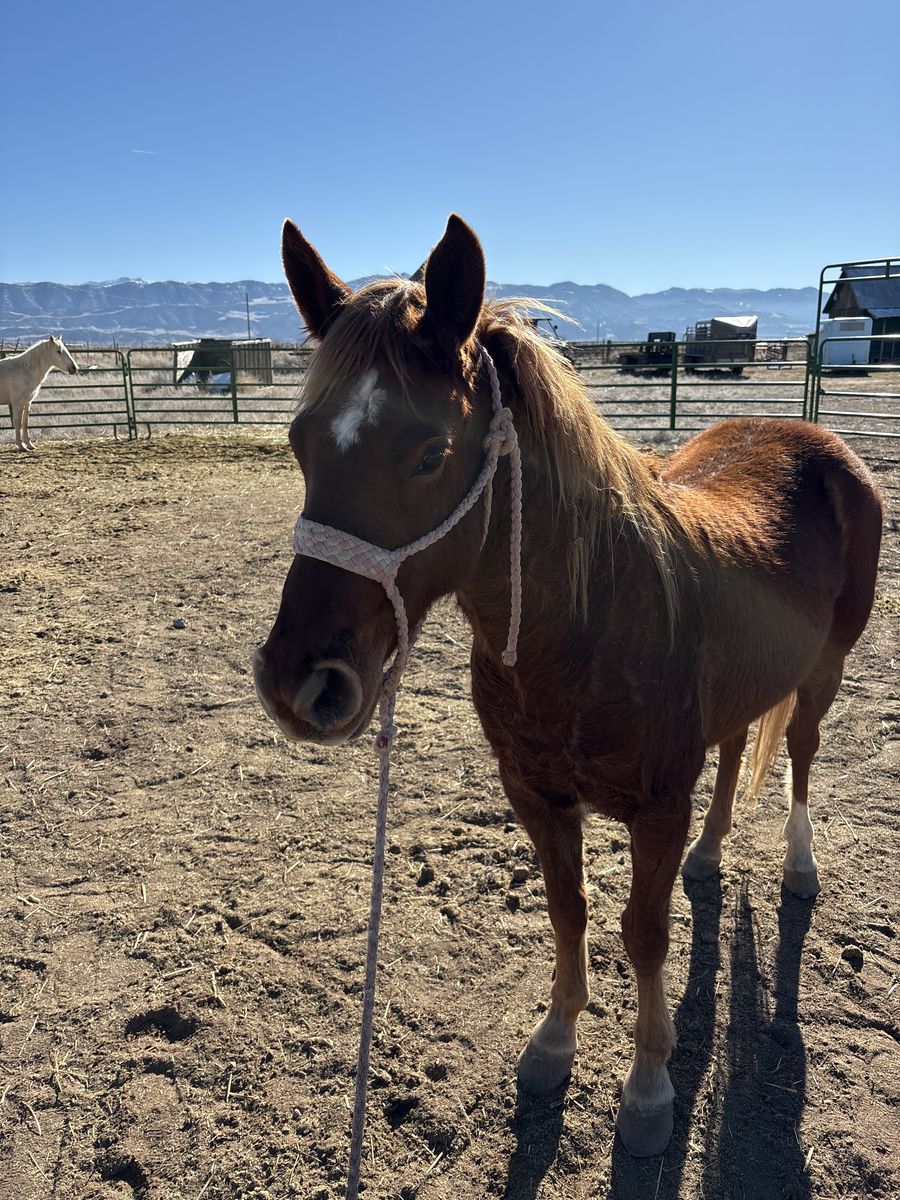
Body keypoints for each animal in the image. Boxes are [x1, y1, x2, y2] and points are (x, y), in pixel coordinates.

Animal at [254, 215, 883, 1157]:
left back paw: (799, 866)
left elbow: (643, 935)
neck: (588, 626)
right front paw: (555, 1039)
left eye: (431, 453)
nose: (300, 682)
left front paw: (650, 1088)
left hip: (826, 667)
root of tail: (820, 442)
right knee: (739, 741)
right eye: (300, 443)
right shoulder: (535, 795)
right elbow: (568, 910)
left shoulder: (656, 806)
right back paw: (710, 855)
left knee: (801, 752)